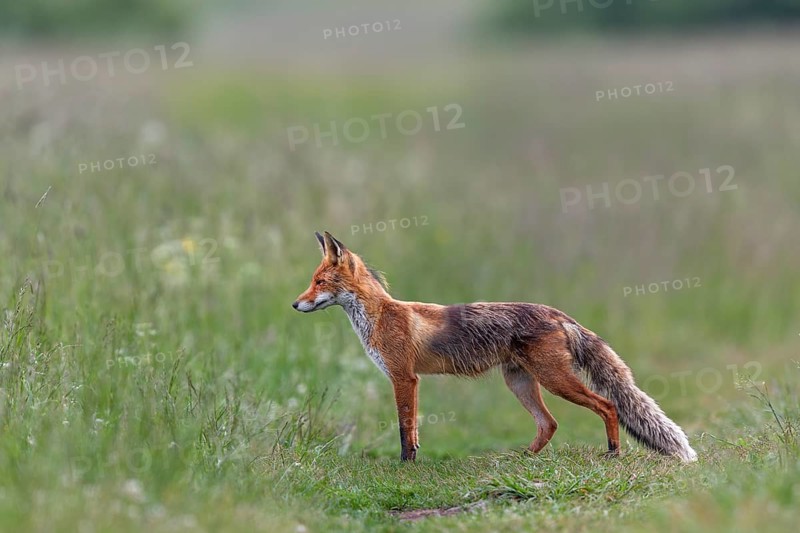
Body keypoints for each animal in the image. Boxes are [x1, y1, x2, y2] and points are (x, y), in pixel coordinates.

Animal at [292, 231, 697, 463]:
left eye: (319, 282)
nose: (295, 305)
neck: (379, 316)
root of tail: (559, 313)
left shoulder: (404, 377)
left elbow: (405, 427)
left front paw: (405, 463)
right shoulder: (407, 379)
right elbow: (413, 428)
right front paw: (412, 459)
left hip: (554, 380)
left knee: (608, 405)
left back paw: (613, 452)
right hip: (520, 382)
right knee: (550, 423)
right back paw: (523, 459)